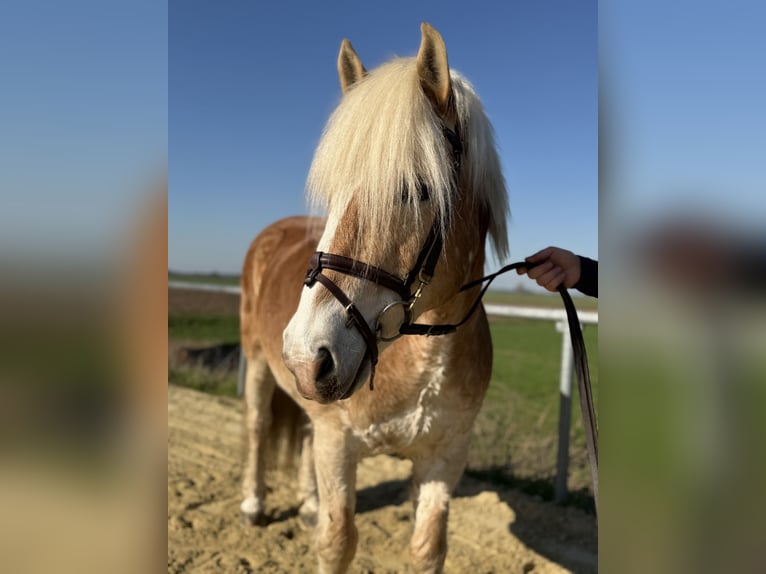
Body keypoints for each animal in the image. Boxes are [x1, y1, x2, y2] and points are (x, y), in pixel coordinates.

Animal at [239, 22, 509, 573]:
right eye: (333, 194)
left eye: (417, 189)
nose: (307, 356)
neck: (421, 359)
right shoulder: (339, 446)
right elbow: (337, 542)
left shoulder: (444, 461)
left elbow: (427, 548)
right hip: (257, 362)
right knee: (257, 425)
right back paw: (254, 505)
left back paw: (306, 502)